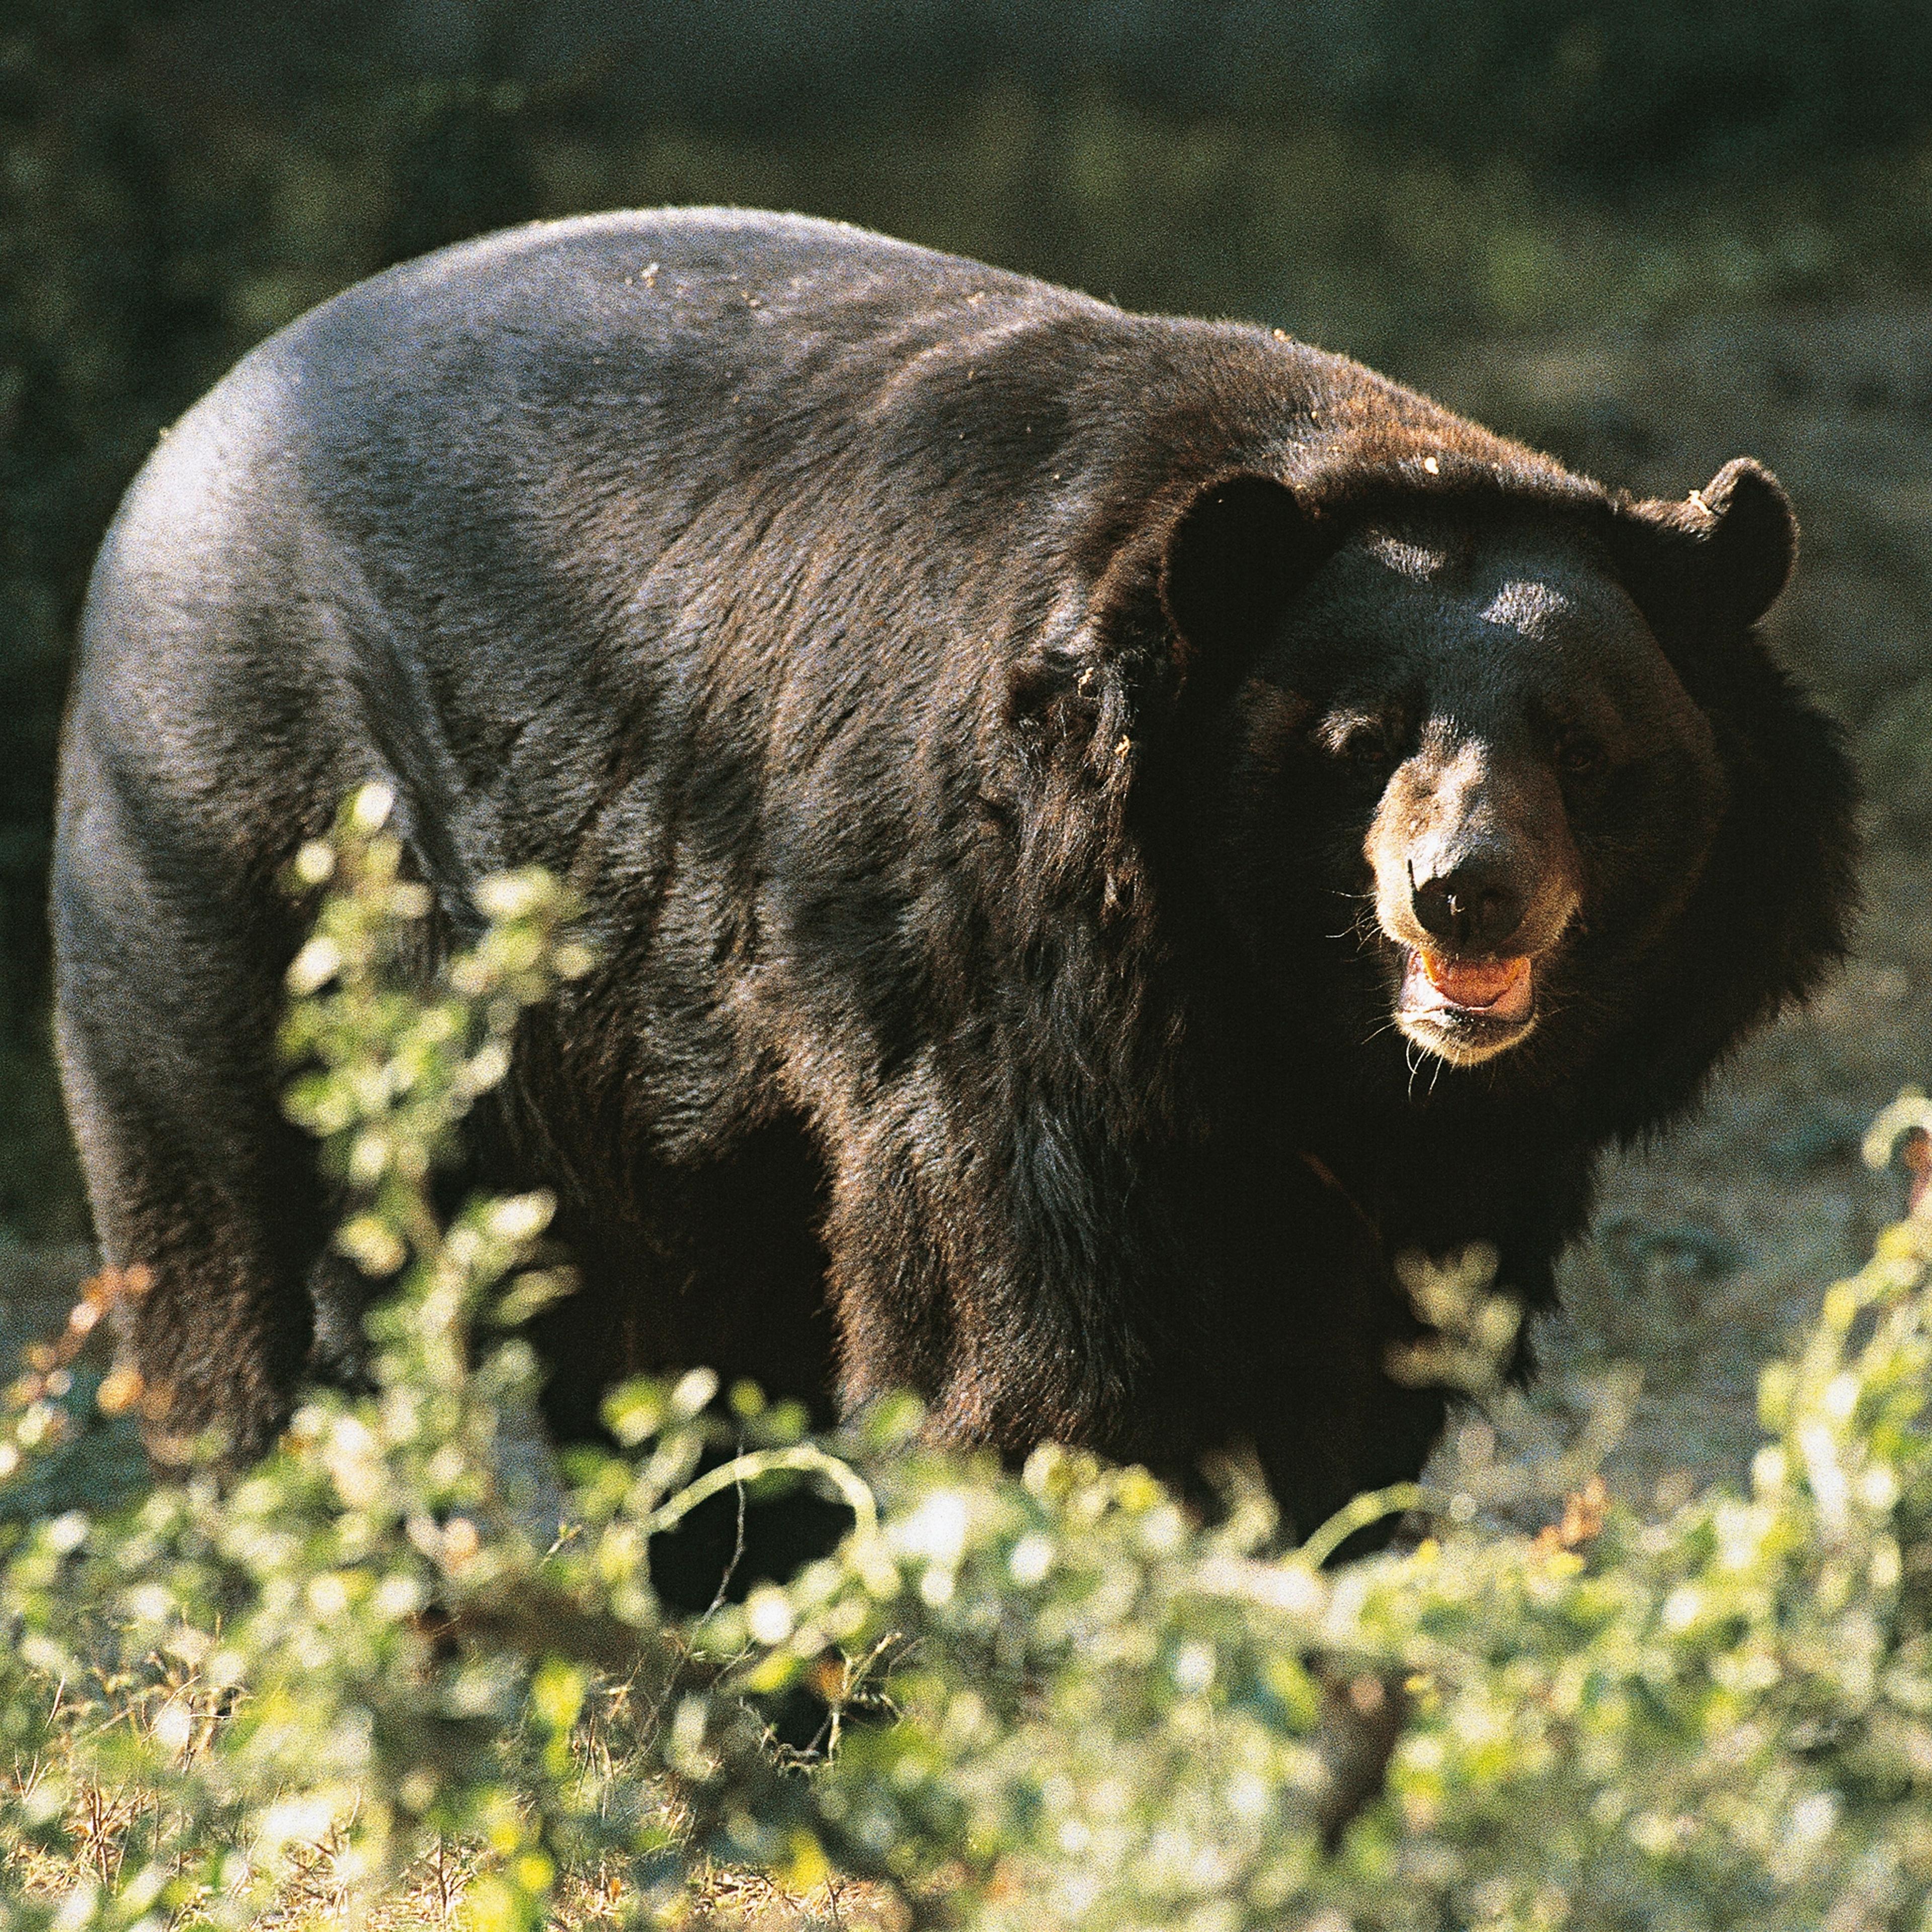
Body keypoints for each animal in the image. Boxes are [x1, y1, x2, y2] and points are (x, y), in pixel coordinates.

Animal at [52, 208, 1856, 1547]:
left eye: (1585, 745)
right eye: (1359, 741)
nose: (1464, 891)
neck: (1286, 1022)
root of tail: (177, 443)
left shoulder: (1447, 1151)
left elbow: (1361, 1375)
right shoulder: (1000, 979)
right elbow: (1035, 1342)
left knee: (677, 1339)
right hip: (242, 851)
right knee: (242, 1252)